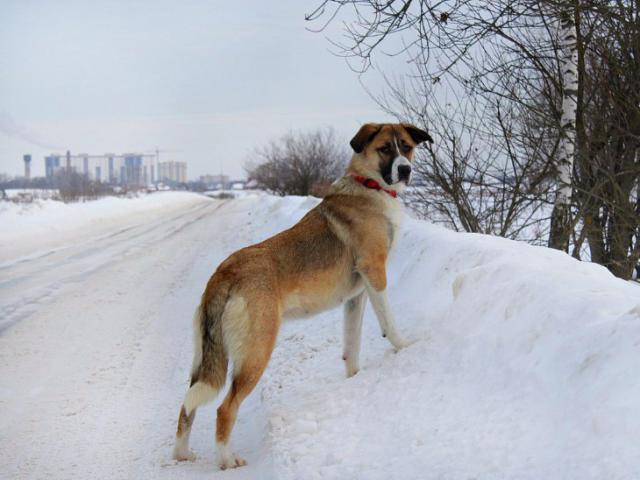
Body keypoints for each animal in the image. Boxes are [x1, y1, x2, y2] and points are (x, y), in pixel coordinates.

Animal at [174, 121, 436, 468]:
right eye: (384, 149)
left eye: (405, 146)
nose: (405, 170)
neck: (369, 186)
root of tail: (224, 273)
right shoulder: (375, 274)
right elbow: (389, 323)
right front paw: (404, 346)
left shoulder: (356, 296)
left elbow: (351, 346)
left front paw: (354, 380)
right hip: (256, 351)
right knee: (224, 407)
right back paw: (227, 459)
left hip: (203, 357)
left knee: (186, 405)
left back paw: (182, 453)